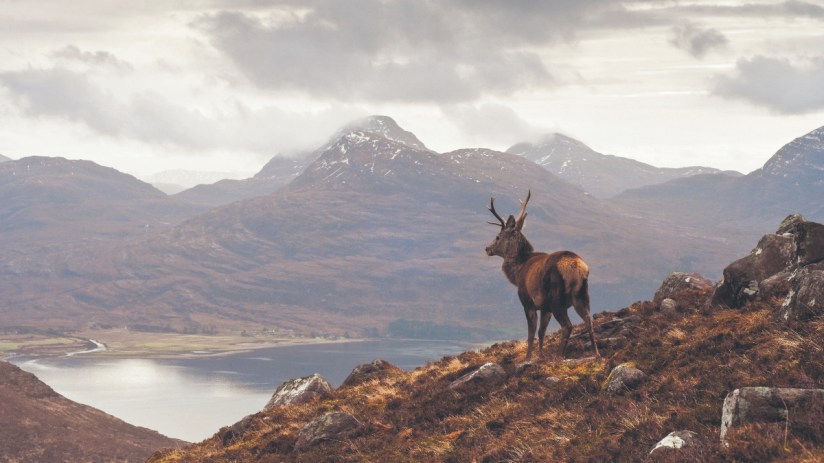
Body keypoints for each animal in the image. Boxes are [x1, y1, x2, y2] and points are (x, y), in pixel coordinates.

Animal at [485, 190, 600, 360]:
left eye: (498, 236)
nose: (487, 248)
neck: (517, 273)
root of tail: (577, 266)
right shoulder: (545, 308)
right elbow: (541, 332)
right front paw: (540, 356)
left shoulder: (528, 301)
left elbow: (531, 333)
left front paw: (528, 358)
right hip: (582, 295)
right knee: (588, 320)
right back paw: (596, 353)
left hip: (556, 298)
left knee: (568, 325)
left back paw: (559, 356)